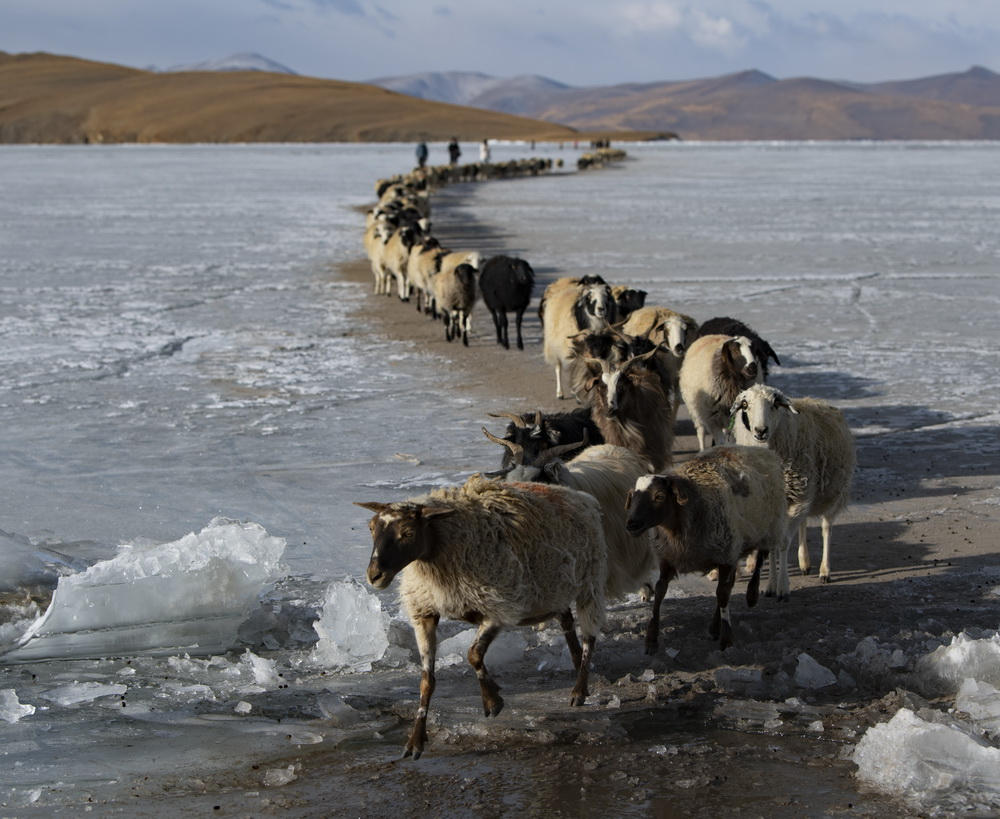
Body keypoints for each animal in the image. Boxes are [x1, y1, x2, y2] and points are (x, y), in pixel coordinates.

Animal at [360, 474, 608, 764]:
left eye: (408, 533)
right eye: (371, 528)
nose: (374, 576)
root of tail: (579, 496)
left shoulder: (498, 608)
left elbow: (473, 655)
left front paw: (493, 701)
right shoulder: (424, 612)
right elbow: (426, 680)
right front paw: (415, 741)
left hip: (590, 582)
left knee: (589, 635)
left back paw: (579, 689)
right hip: (552, 590)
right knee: (567, 621)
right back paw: (576, 662)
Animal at [624, 446, 788, 652]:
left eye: (659, 496)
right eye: (633, 497)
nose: (632, 524)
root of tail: (761, 450)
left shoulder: (726, 555)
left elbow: (722, 594)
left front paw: (727, 639)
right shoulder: (670, 557)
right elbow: (661, 591)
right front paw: (651, 639)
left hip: (769, 527)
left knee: (759, 559)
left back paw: (751, 595)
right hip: (738, 545)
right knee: (729, 585)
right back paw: (714, 627)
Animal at [732, 384, 856, 596]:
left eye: (775, 404)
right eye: (746, 404)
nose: (761, 430)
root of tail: (817, 401)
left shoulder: (799, 499)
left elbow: (782, 542)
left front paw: (782, 587)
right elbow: (773, 544)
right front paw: (771, 586)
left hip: (832, 494)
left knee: (826, 528)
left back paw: (825, 571)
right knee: (803, 523)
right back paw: (804, 562)